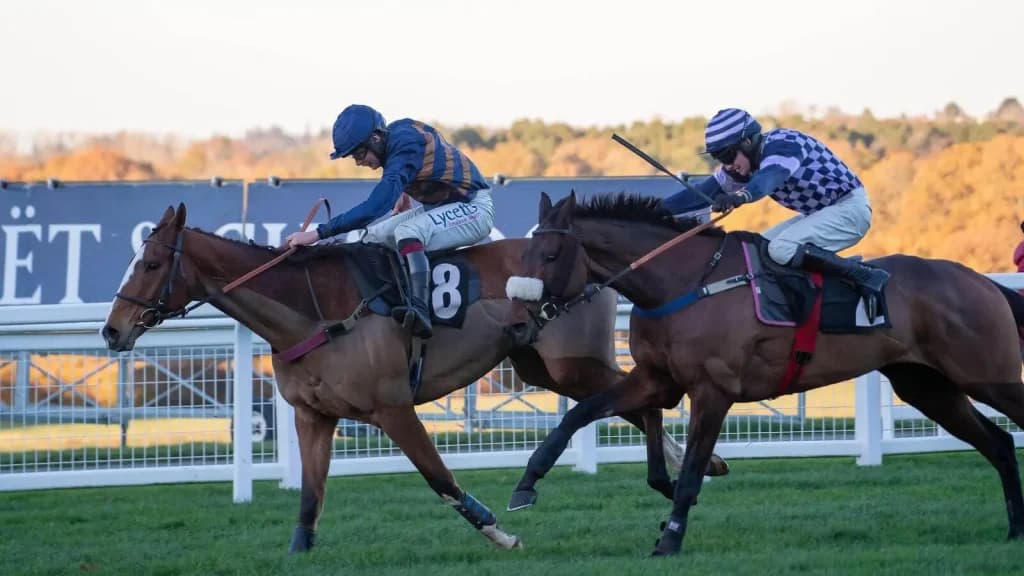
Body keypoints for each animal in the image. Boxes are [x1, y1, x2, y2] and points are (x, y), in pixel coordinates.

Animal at [101, 203, 728, 554]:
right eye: (133, 261)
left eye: (150, 264)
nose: (111, 331)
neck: (311, 310)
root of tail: (588, 259)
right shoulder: (313, 415)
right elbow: (309, 498)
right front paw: (299, 548)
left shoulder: (392, 408)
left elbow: (439, 479)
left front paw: (499, 532)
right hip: (541, 367)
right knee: (632, 400)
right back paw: (688, 468)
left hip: (569, 363)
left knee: (636, 395)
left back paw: (686, 468)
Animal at [505, 191, 1024, 556]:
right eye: (522, 256)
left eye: (549, 256)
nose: (515, 325)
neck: (681, 284)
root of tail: (982, 281)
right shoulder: (656, 380)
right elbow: (579, 415)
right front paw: (525, 486)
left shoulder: (713, 391)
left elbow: (692, 469)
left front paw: (670, 538)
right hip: (927, 387)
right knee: (999, 442)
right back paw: (1015, 528)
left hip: (987, 377)